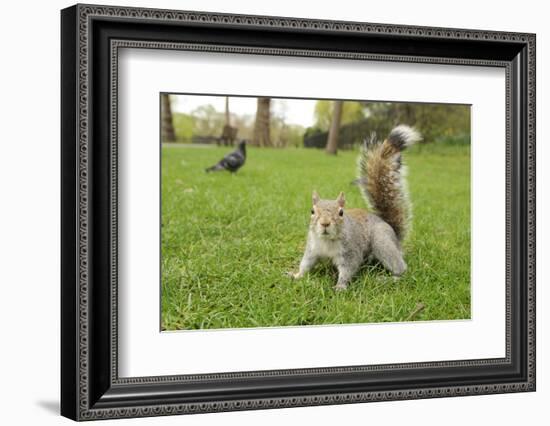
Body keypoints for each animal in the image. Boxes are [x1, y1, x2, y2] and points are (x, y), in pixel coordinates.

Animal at [288, 123, 422, 290]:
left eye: (341, 213)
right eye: (312, 211)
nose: (325, 223)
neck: (327, 241)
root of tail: (394, 234)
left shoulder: (351, 252)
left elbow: (348, 269)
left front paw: (340, 286)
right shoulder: (312, 249)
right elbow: (305, 264)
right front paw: (296, 275)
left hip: (382, 242)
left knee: (400, 267)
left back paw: (390, 278)